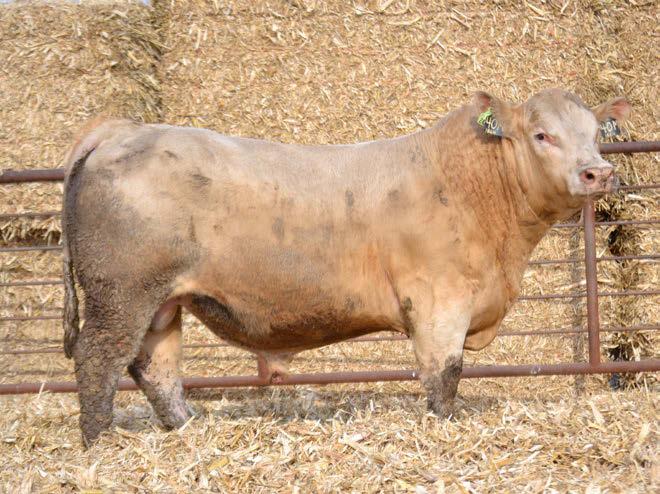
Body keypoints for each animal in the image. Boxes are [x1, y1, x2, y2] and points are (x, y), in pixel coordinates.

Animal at [61, 89, 630, 446]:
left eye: (595, 133)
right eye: (541, 135)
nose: (597, 172)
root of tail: (121, 130)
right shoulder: (439, 299)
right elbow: (443, 378)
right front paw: (443, 428)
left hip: (161, 301)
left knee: (154, 368)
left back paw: (184, 428)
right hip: (120, 292)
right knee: (98, 360)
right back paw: (99, 445)